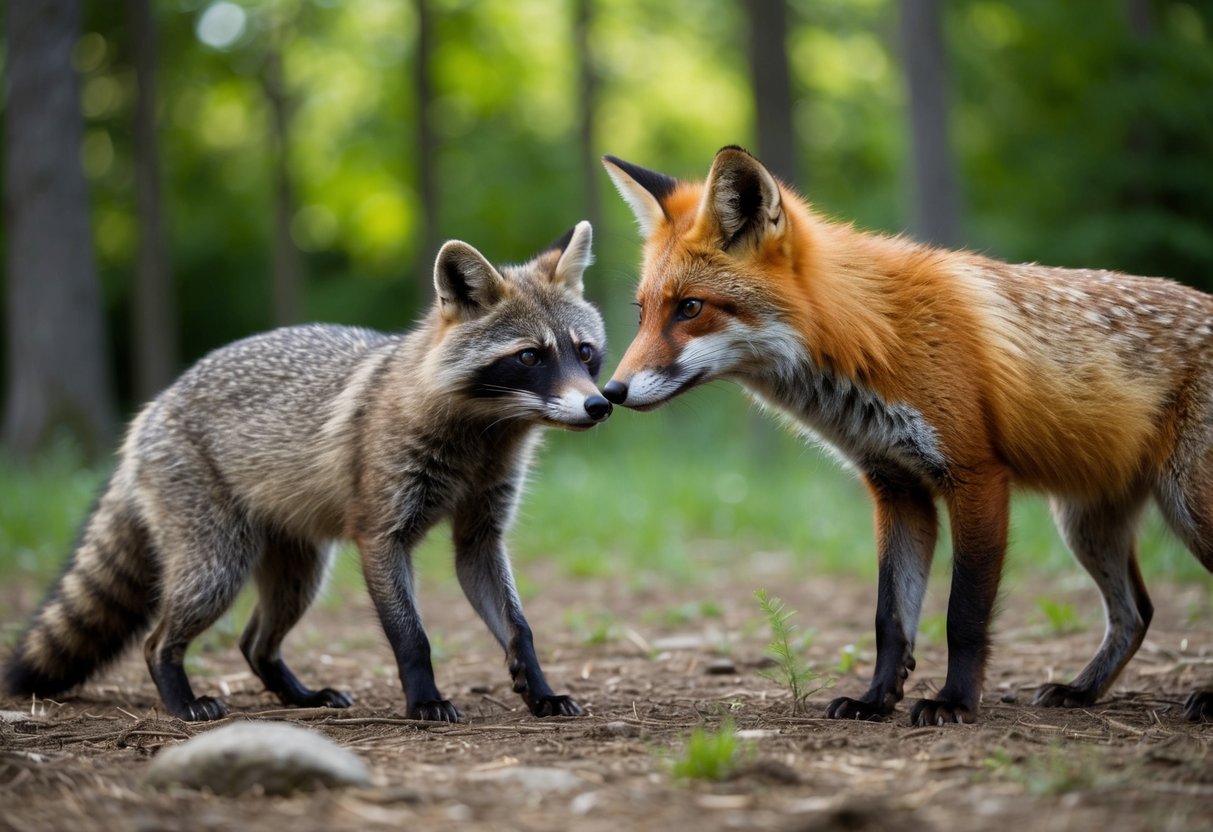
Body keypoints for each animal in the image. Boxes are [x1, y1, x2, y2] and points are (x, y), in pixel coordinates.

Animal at [4, 221, 610, 722]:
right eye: (530, 357)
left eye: (584, 353)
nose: (600, 405)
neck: (478, 442)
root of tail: (153, 408)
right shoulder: (381, 534)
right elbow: (411, 638)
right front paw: (424, 702)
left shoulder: (480, 537)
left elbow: (519, 630)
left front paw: (539, 690)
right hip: (217, 568)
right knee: (158, 642)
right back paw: (182, 701)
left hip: (299, 575)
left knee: (254, 644)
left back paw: (299, 696)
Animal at [600, 146, 1213, 726]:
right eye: (642, 313)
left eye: (691, 308)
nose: (610, 392)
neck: (871, 338)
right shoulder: (897, 487)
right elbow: (889, 618)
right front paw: (876, 700)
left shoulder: (977, 478)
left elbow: (963, 615)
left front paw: (954, 703)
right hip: (1085, 524)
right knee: (1136, 613)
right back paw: (1081, 690)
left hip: (1187, 509)